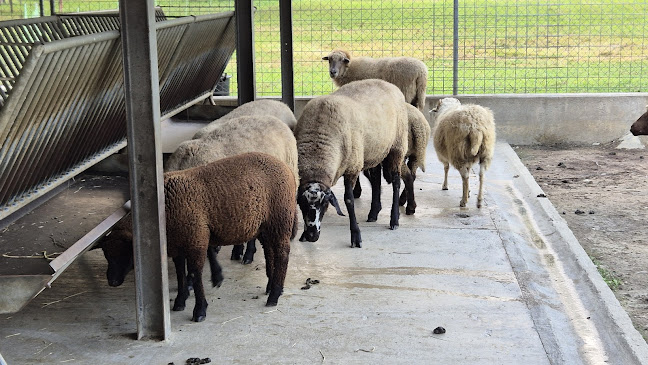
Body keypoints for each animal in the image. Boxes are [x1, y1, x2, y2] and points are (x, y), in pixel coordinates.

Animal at [296, 78, 408, 246]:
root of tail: (388, 83)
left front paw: (356, 235)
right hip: (373, 151)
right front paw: (303, 234)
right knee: (376, 179)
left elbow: (349, 200)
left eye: (325, 204)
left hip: (397, 146)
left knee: (396, 181)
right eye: (301, 204)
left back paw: (394, 220)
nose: (312, 235)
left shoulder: (353, 168)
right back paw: (373, 212)